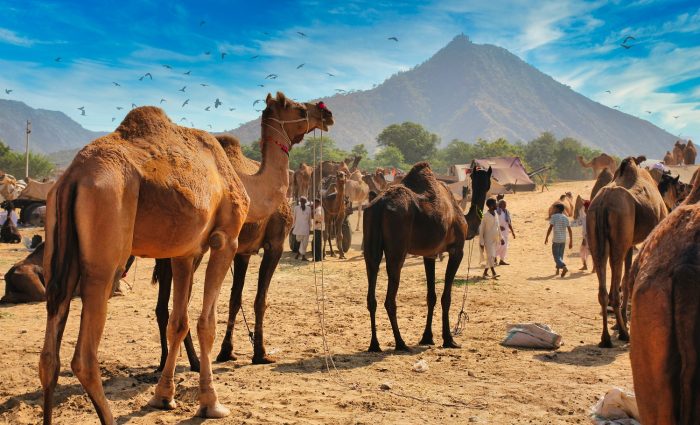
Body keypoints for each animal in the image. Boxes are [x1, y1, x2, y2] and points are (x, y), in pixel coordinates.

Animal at [37, 93, 330, 424]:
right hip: (105, 247)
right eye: (299, 108)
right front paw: (212, 403)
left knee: (49, 355)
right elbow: (206, 322)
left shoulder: (185, 252)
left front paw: (163, 397)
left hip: (59, 252)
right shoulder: (226, 240)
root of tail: (73, 177)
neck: (244, 181)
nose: (326, 114)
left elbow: (178, 321)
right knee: (84, 356)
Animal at [360, 162, 492, 352]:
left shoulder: (429, 254)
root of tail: (379, 206)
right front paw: (449, 339)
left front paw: (427, 337)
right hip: (397, 250)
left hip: (370, 245)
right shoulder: (457, 250)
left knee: (372, 292)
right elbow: (446, 297)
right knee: (390, 298)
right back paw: (400, 343)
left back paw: (374, 344)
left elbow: (431, 296)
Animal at [584, 157, 668, 346]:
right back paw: (623, 333)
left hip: (597, 236)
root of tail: (603, 203)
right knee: (614, 290)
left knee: (603, 288)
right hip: (619, 237)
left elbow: (627, 277)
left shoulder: (630, 244)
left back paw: (606, 338)